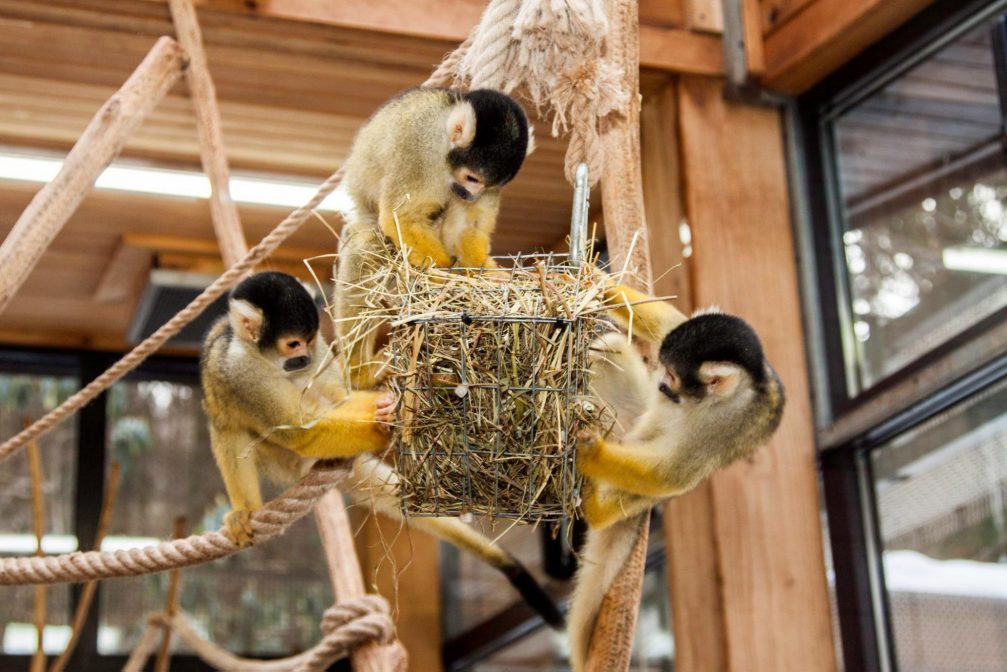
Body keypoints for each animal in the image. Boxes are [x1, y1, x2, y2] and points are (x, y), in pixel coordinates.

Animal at [334, 86, 535, 386]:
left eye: (486, 185)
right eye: (472, 178)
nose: (472, 195)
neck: (445, 149)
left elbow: (468, 226)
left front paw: (485, 274)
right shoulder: (418, 145)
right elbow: (401, 216)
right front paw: (444, 277)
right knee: (368, 244)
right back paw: (362, 373)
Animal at [567, 292, 785, 672]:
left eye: (671, 375)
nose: (660, 385)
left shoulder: (722, 426)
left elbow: (669, 474)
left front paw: (590, 454)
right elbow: (664, 320)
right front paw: (601, 287)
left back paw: (597, 508)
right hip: (629, 418)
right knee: (607, 350)